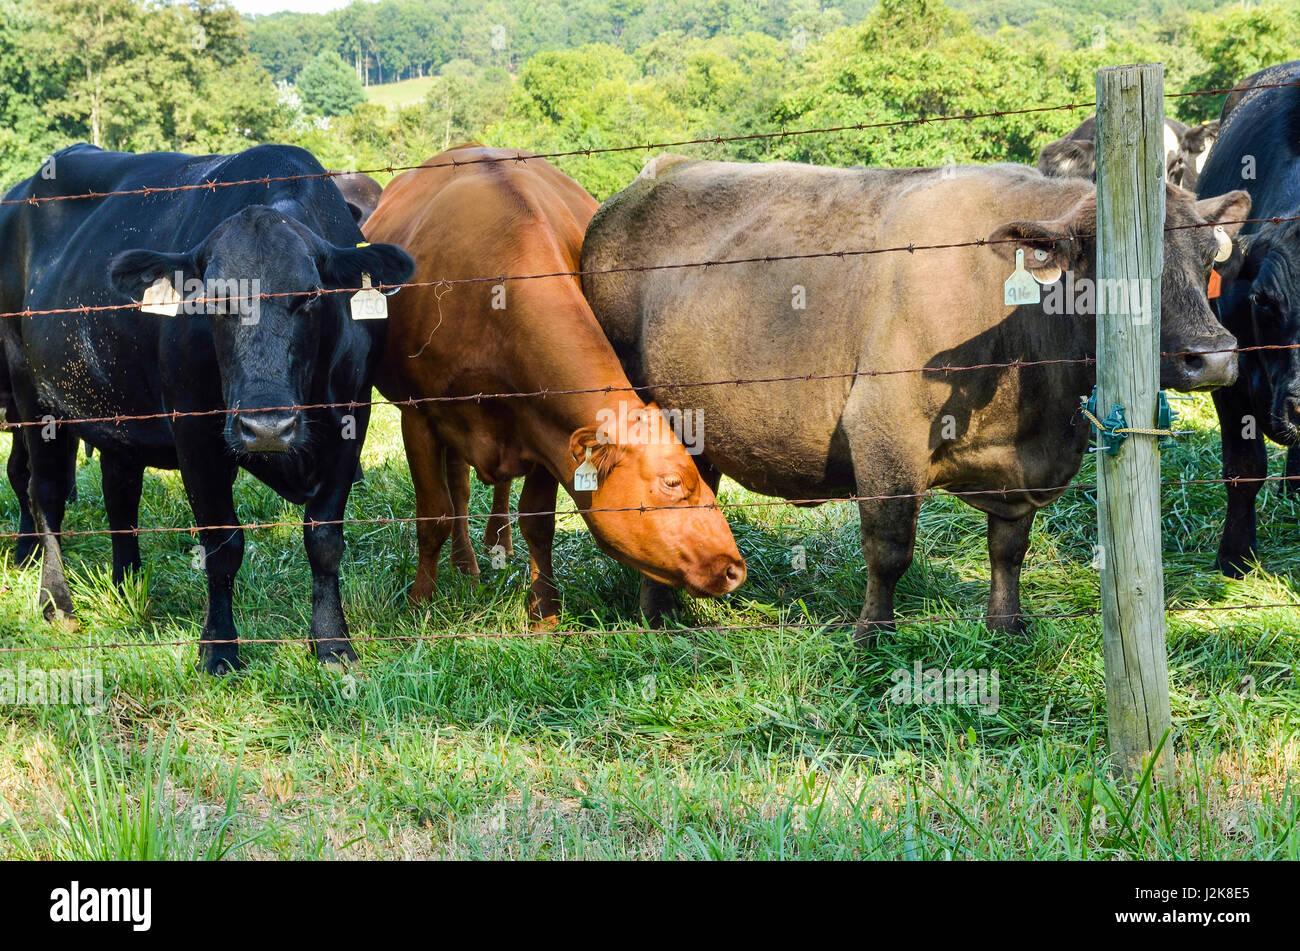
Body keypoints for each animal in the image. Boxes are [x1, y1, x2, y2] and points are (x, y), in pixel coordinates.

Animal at [0, 143, 415, 673]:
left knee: (120, 495)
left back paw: (127, 586)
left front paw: (331, 643)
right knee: (45, 493)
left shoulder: (352, 419)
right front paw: (219, 647)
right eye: (214, 298)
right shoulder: (196, 434)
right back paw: (56, 602)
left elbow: (324, 539)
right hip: (32, 395)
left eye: (310, 296)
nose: (266, 428)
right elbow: (223, 543)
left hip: (116, 413)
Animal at [363, 146, 746, 626]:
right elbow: (433, 515)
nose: (735, 569)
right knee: (459, 488)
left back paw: (496, 545)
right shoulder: (418, 416)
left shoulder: (544, 429)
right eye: (673, 482)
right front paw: (420, 605)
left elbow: (538, 521)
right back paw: (466, 565)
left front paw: (545, 610)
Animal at [582, 156, 1250, 639]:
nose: (1214, 355)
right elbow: (889, 550)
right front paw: (872, 635)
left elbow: (1009, 547)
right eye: (1113, 268)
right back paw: (656, 616)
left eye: (1207, 257)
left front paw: (1007, 625)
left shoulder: (1024, 464)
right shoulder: (884, 431)